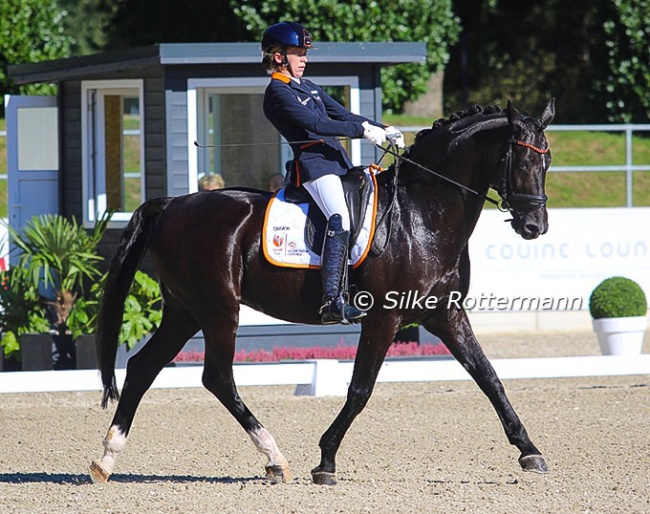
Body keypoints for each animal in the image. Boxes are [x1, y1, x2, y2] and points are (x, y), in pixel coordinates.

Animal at [87, 98, 552, 482]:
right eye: (520, 161)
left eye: (545, 163)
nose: (535, 226)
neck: (421, 216)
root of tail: (174, 204)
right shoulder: (385, 317)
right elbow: (360, 389)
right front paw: (326, 460)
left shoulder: (445, 314)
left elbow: (490, 378)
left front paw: (530, 451)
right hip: (218, 309)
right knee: (216, 377)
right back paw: (274, 456)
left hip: (185, 311)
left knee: (144, 368)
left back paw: (106, 459)